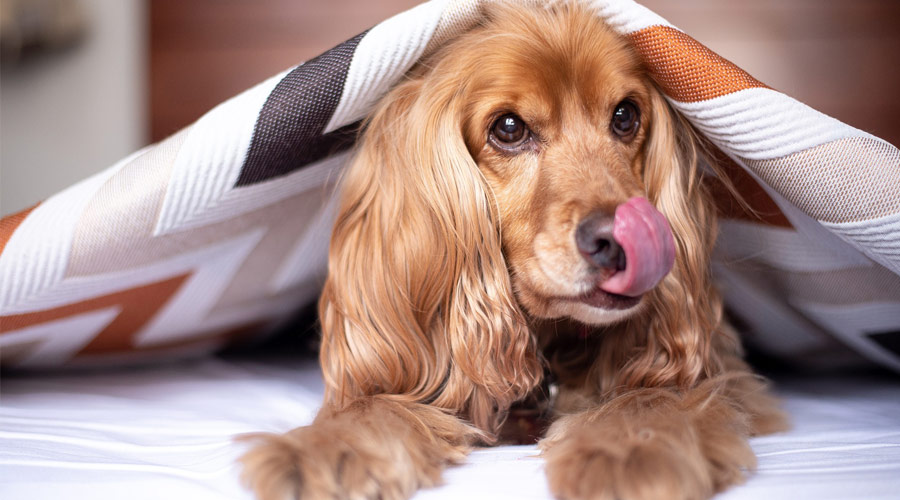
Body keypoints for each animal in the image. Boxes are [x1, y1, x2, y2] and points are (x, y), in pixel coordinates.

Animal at [243, 3, 784, 500]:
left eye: (625, 115)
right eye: (508, 128)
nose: (617, 241)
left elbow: (655, 394)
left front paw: (630, 450)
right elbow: (373, 403)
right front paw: (326, 446)